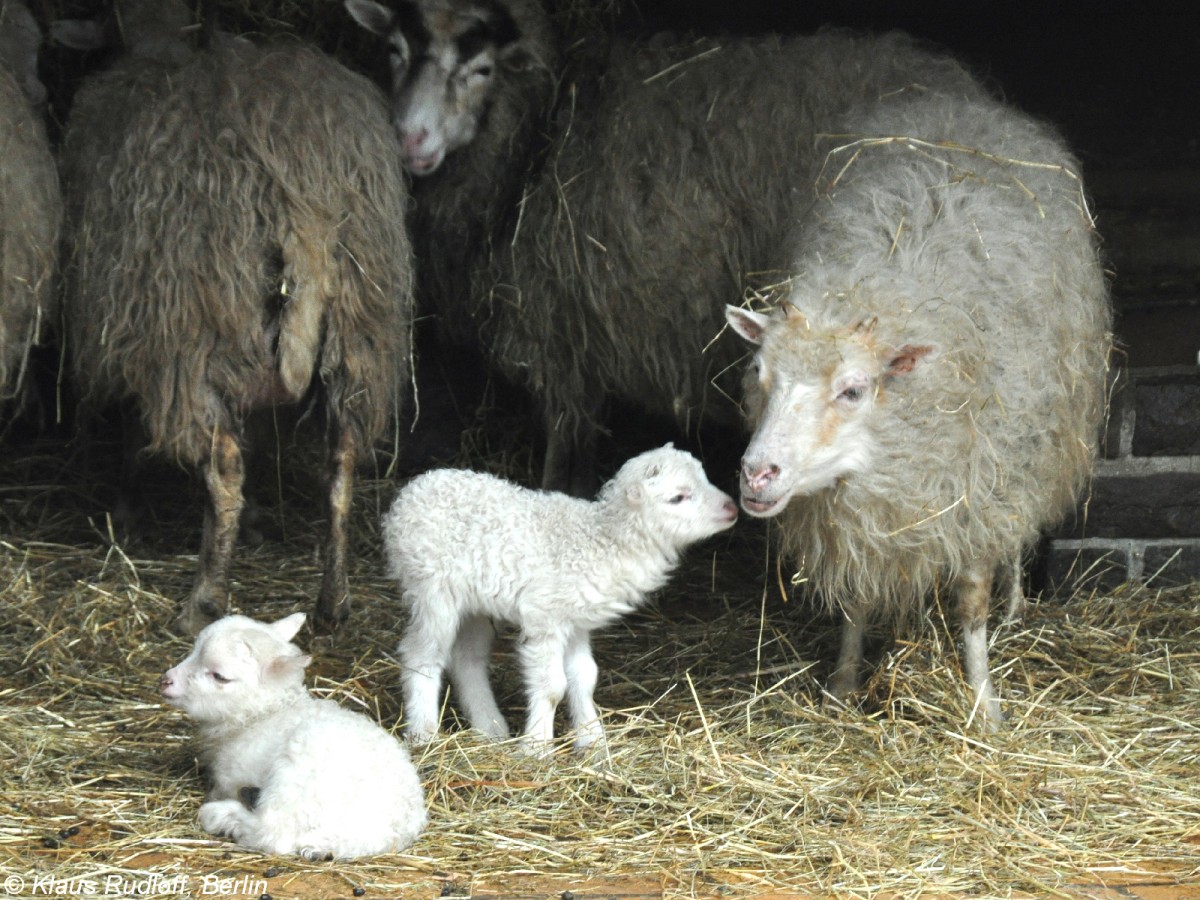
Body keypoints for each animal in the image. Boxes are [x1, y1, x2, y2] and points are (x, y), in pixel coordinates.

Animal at [160, 614, 427, 859]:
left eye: (220, 676)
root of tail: (382, 834)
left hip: (297, 777)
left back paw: (218, 814)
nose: (165, 680)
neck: (265, 714)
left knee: (272, 835)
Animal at [384, 446, 739, 753]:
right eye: (677, 497)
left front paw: (593, 743)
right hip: (432, 589)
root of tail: (413, 489)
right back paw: (423, 733)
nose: (732, 508)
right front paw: (536, 747)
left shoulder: (576, 620)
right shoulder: (546, 618)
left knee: (466, 658)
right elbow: (553, 686)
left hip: (474, 604)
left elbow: (585, 678)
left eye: (705, 478)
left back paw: (490, 727)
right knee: (422, 655)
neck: (602, 540)